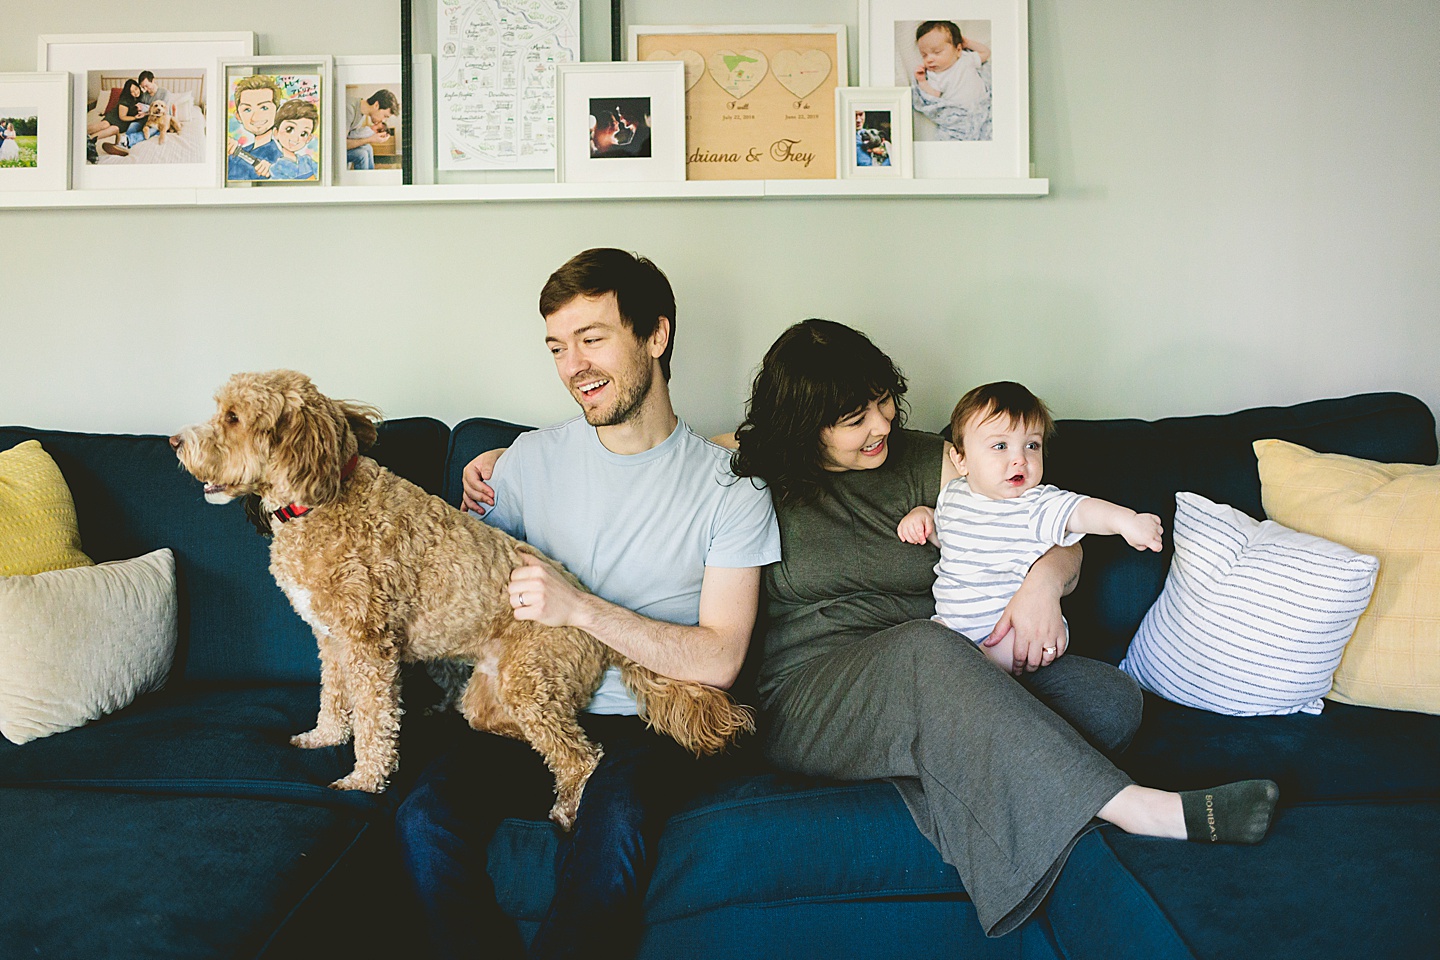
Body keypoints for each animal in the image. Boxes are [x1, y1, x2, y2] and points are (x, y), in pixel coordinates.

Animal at [171, 368, 754, 829]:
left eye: (233, 418)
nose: (175, 441)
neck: (322, 498)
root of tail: (599, 626)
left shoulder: (368, 644)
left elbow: (374, 722)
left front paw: (363, 779)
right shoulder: (331, 640)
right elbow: (333, 698)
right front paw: (323, 736)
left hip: (529, 681)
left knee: (580, 757)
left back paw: (566, 807)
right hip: (494, 697)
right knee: (540, 734)